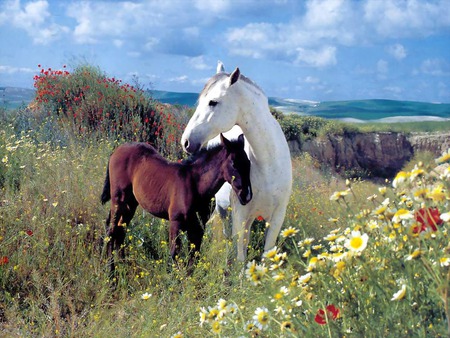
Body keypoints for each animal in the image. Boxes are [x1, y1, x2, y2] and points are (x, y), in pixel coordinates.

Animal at [181, 62, 294, 262]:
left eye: (213, 102)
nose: (186, 141)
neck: (267, 166)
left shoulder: (277, 218)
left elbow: (266, 257)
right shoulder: (240, 215)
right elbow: (240, 257)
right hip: (224, 211)